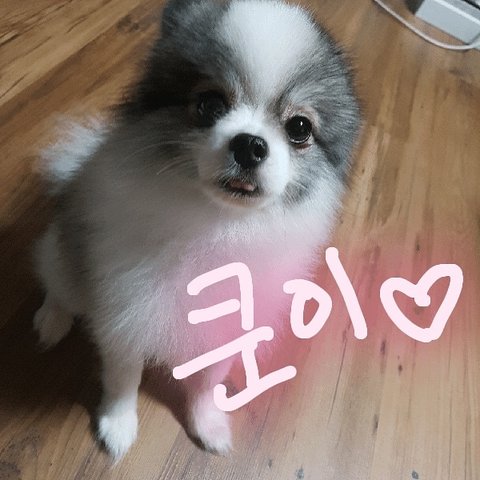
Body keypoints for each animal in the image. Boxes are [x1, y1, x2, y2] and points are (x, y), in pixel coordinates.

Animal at [34, 0, 360, 459]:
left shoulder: (228, 324)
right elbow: (123, 378)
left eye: (299, 128)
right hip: (66, 254)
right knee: (59, 282)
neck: (217, 225)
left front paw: (208, 424)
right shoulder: (128, 313)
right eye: (209, 104)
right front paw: (118, 425)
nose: (250, 144)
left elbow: (208, 383)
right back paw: (51, 320)